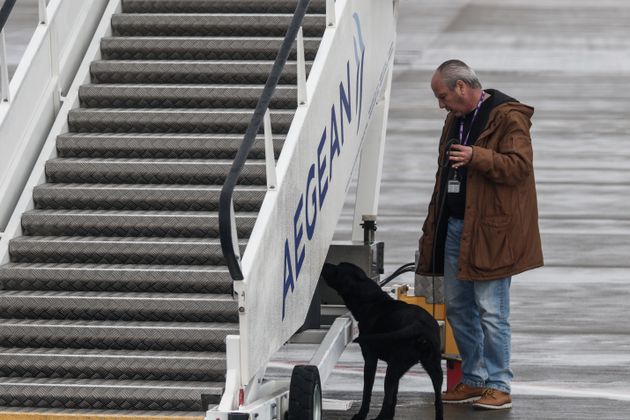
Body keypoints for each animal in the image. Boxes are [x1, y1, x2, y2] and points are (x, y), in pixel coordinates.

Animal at [326, 262, 444, 420]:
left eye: (338, 269)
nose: (325, 265)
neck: (371, 302)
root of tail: (420, 325)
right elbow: (394, 396)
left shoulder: (370, 359)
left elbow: (368, 392)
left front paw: (361, 414)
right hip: (433, 368)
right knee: (438, 401)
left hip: (394, 368)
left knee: (386, 397)